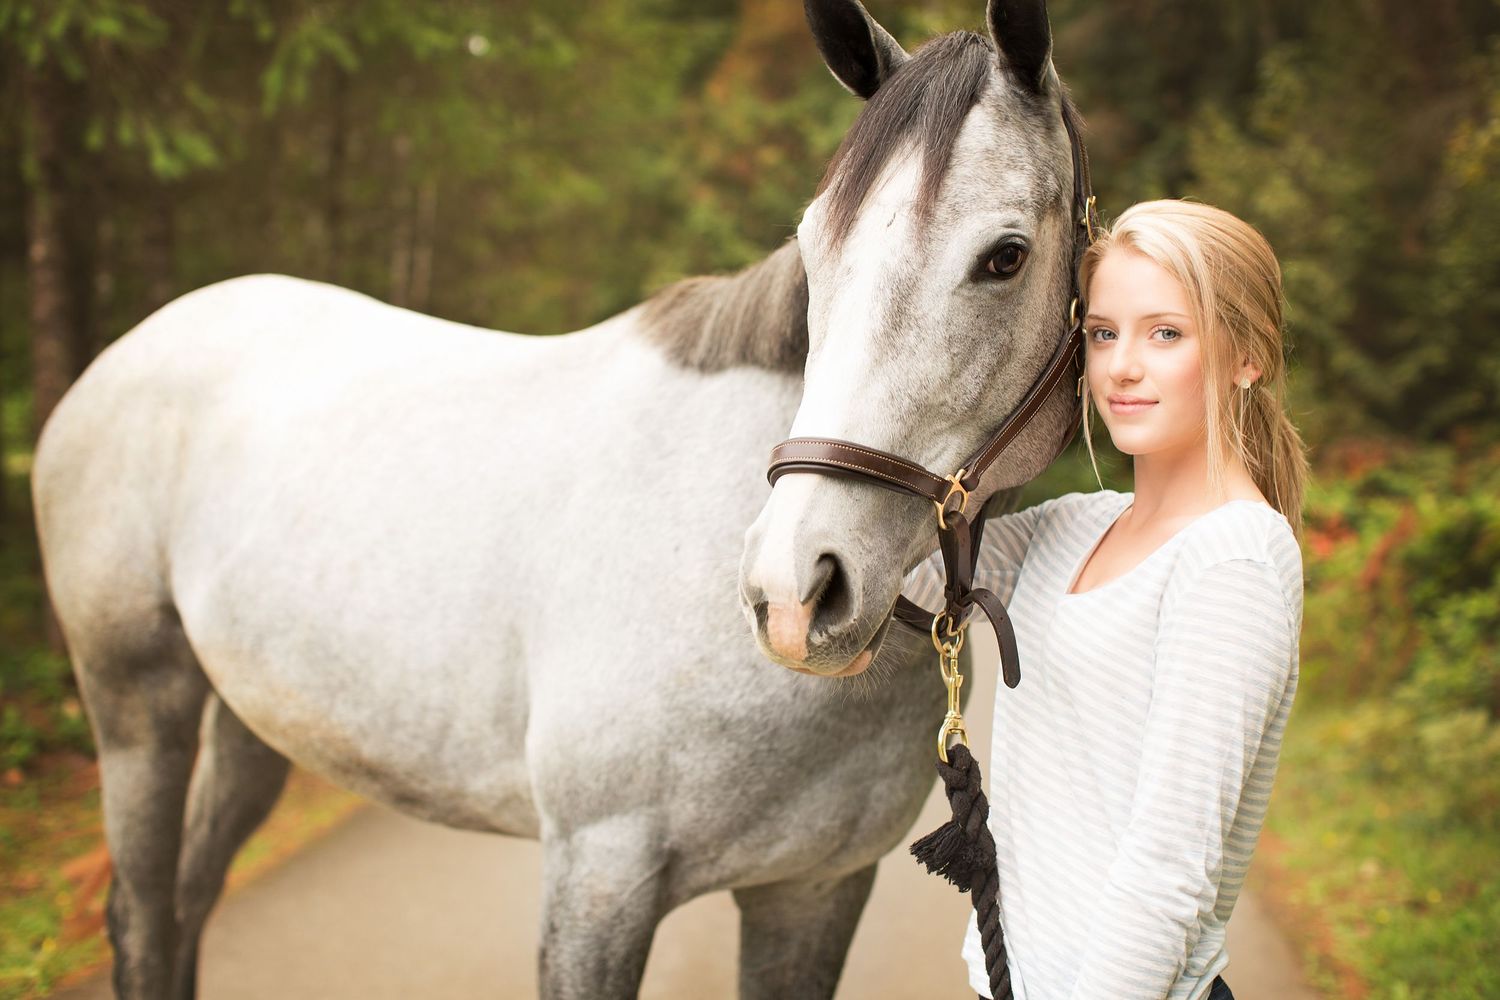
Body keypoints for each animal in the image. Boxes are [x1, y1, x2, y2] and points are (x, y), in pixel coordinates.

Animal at [31, 1, 1085, 997]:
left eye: (1005, 255)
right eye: (813, 249)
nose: (797, 590)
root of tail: (118, 361)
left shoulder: (813, 891)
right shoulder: (598, 879)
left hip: (250, 723)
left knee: (187, 901)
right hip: (140, 711)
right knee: (142, 910)